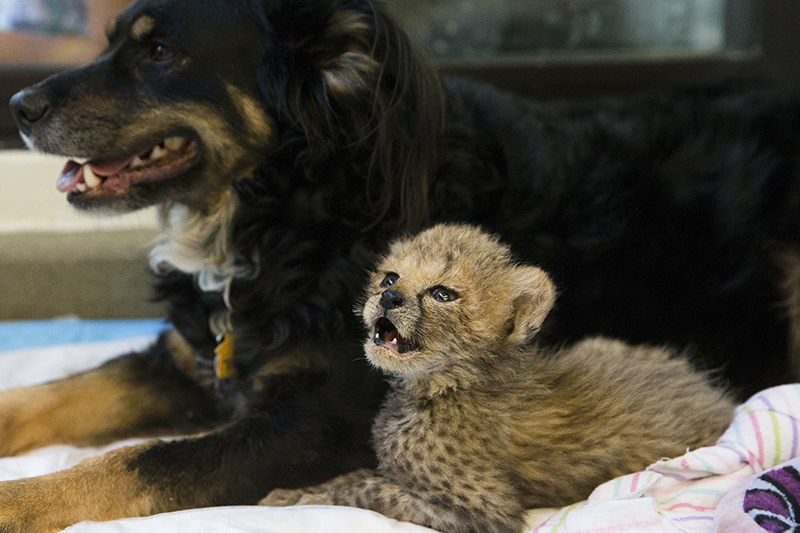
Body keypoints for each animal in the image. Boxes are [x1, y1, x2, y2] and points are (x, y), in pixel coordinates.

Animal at [260, 224, 736, 532]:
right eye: (390, 277)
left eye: (442, 294)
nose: (389, 297)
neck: (444, 384)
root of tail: (717, 400)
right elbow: (356, 474)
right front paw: (290, 494)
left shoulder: (483, 510)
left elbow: (370, 488)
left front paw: (308, 499)